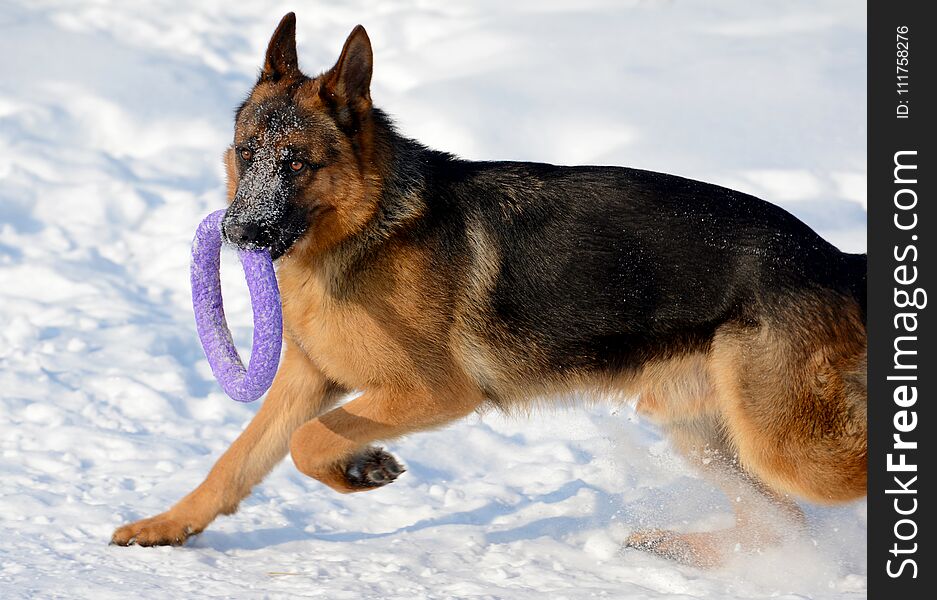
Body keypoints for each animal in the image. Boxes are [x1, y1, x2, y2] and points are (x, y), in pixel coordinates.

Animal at [113, 14, 868, 568]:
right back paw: (685, 548)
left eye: (296, 163)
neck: (370, 225)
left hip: (785, 447)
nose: (237, 232)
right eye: (247, 154)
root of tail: (835, 259)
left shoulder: (432, 393)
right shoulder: (305, 381)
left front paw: (362, 469)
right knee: (783, 525)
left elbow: (308, 441)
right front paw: (168, 525)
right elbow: (237, 460)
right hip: (704, 432)